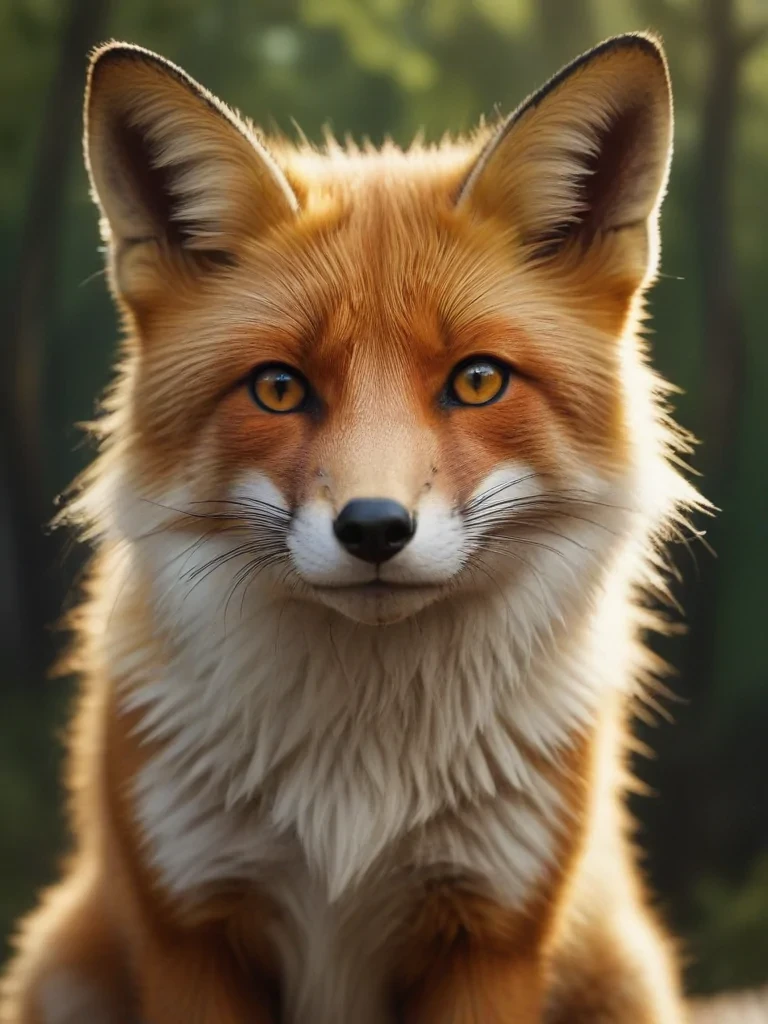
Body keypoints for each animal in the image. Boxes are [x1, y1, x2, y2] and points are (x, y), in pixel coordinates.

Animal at [2, 30, 748, 1024]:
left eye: (478, 380)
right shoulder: (189, 928)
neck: (356, 791)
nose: (375, 529)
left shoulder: (491, 933)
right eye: (279, 388)